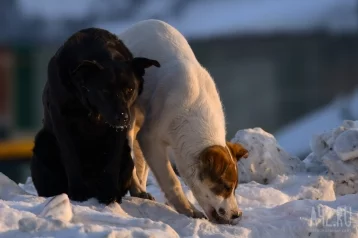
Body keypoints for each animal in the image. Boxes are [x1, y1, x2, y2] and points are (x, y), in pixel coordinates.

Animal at [30, 27, 159, 205]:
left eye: (130, 89)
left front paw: (110, 194)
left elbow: (112, 161)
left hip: (127, 156)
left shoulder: (118, 129)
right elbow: (70, 156)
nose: (123, 117)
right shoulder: (60, 118)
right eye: (104, 91)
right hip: (43, 144)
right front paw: (78, 192)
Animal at [119, 19, 248, 224]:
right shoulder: (150, 138)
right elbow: (172, 180)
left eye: (235, 188)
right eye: (226, 186)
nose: (237, 214)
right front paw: (188, 210)